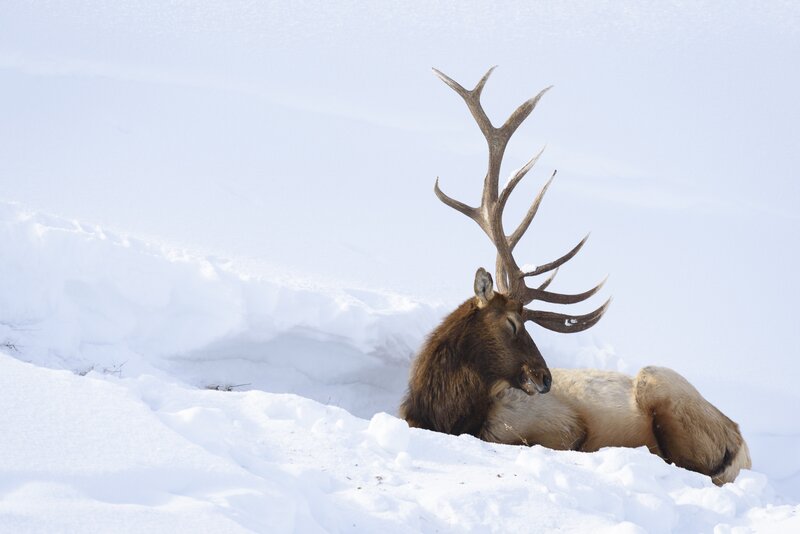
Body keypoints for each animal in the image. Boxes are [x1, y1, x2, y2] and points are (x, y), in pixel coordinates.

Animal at [399, 67, 751, 485]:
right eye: (512, 323)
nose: (546, 378)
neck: (442, 412)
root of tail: (741, 445)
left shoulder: (555, 425)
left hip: (662, 385)